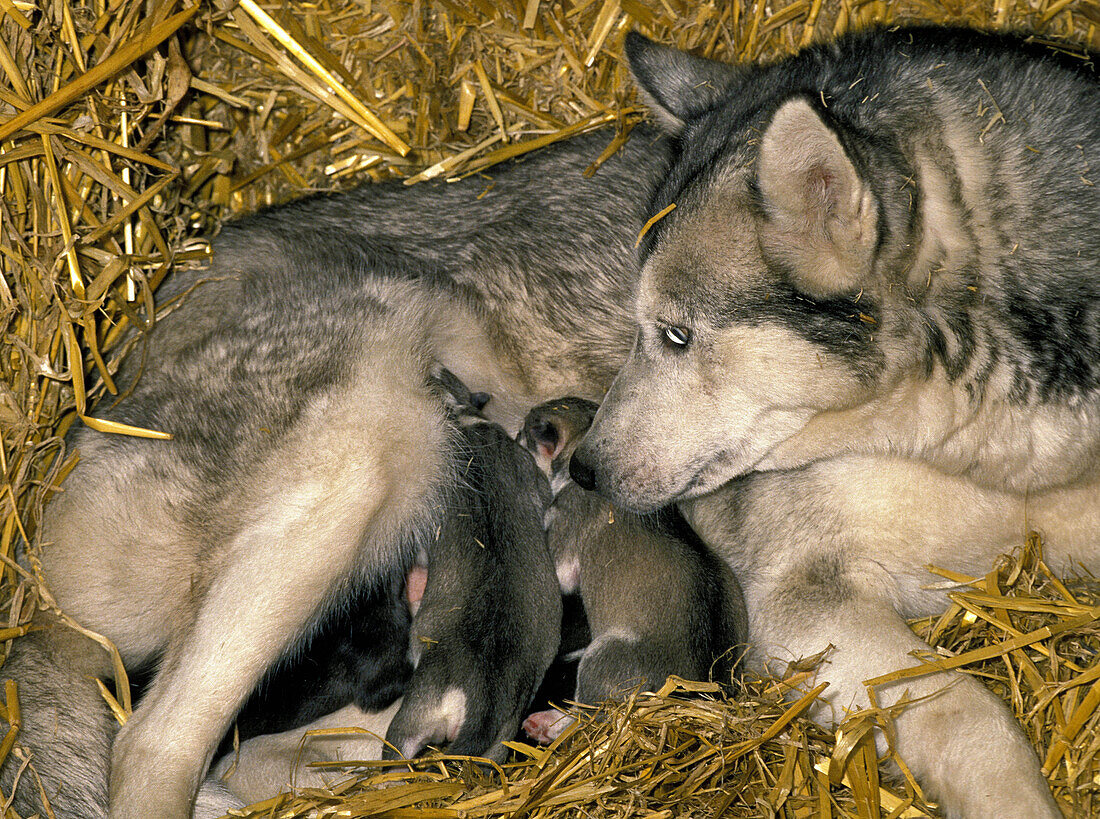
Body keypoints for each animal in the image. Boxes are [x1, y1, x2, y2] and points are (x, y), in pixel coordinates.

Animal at [517, 395, 748, 743]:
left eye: (527, 433)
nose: (515, 432)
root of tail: (693, 691)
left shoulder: (564, 539)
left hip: (600, 657)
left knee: (585, 716)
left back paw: (545, 723)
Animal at [572, 27, 1100, 817]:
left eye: (676, 335)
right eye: (649, 328)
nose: (582, 467)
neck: (995, 455)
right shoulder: (807, 594)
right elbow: (967, 710)